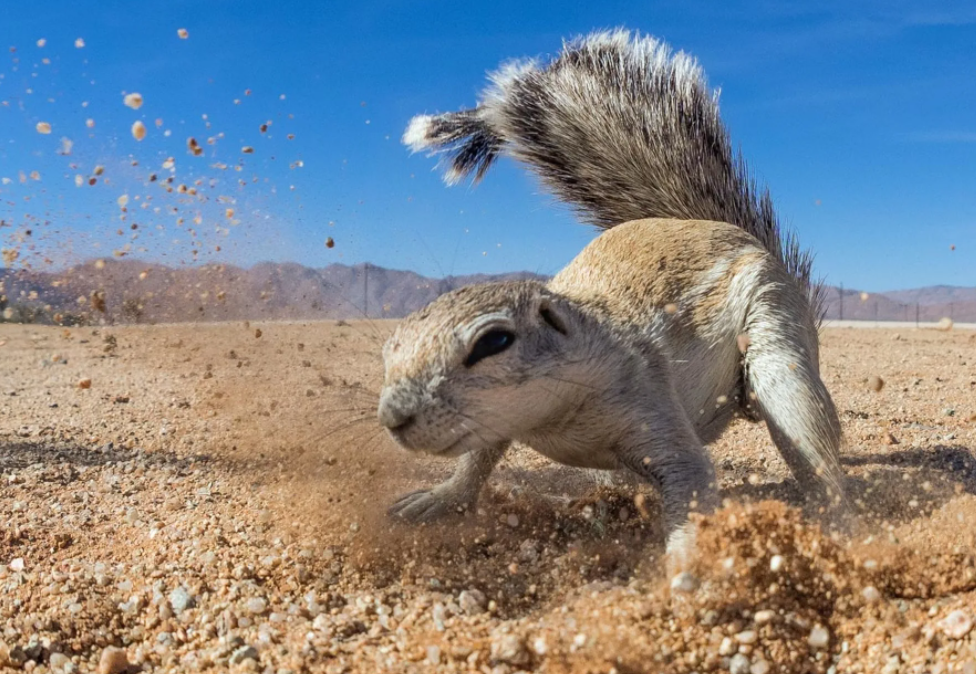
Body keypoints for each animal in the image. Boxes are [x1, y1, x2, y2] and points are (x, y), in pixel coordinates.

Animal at [378, 27, 844, 560]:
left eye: (493, 342)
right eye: (390, 346)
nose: (392, 417)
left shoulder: (647, 399)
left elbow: (692, 480)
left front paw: (682, 565)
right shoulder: (499, 424)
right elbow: (478, 459)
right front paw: (441, 497)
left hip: (775, 334)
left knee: (808, 443)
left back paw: (833, 526)